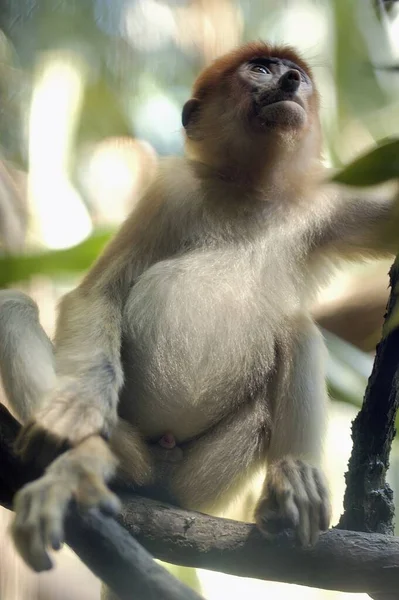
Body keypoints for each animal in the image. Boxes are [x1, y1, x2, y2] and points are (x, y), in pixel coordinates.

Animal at [0, 42, 398, 596]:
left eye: (294, 73)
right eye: (261, 68)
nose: (291, 81)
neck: (248, 190)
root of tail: (161, 472)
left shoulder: (324, 201)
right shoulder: (171, 190)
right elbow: (95, 294)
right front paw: (77, 410)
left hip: (206, 477)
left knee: (296, 326)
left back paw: (288, 484)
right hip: (134, 447)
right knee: (14, 307)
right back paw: (79, 466)